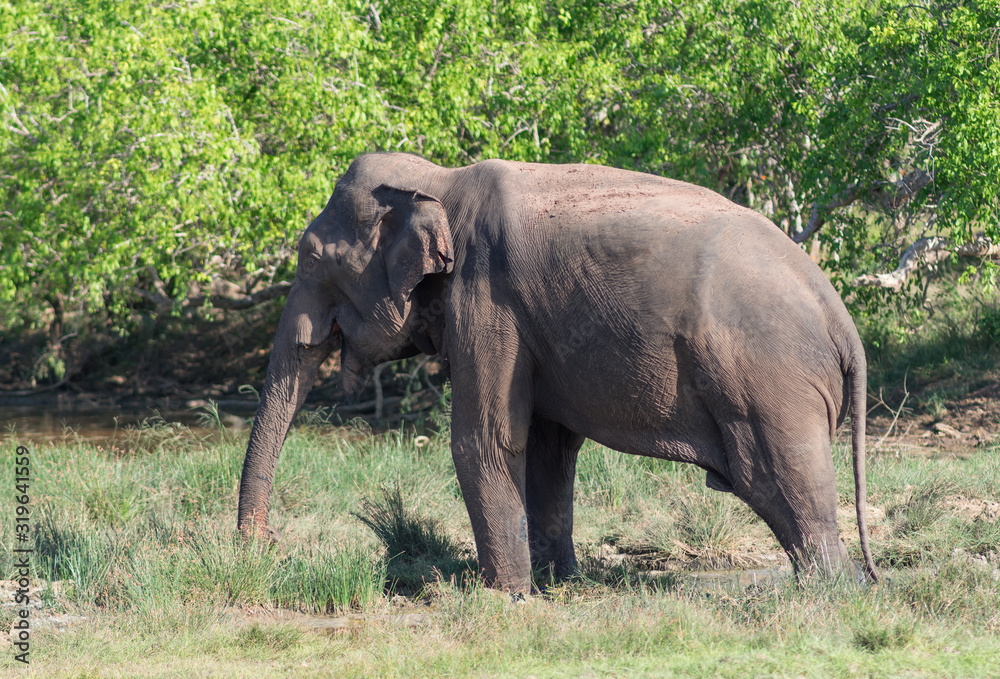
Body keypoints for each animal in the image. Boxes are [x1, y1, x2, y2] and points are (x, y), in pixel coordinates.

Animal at [238, 153, 880, 596]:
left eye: (311, 258)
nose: (267, 548)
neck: (441, 183)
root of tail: (839, 316)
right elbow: (548, 447)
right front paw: (556, 584)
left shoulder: (487, 301)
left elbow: (485, 441)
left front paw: (506, 598)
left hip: (770, 382)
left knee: (780, 474)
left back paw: (828, 592)